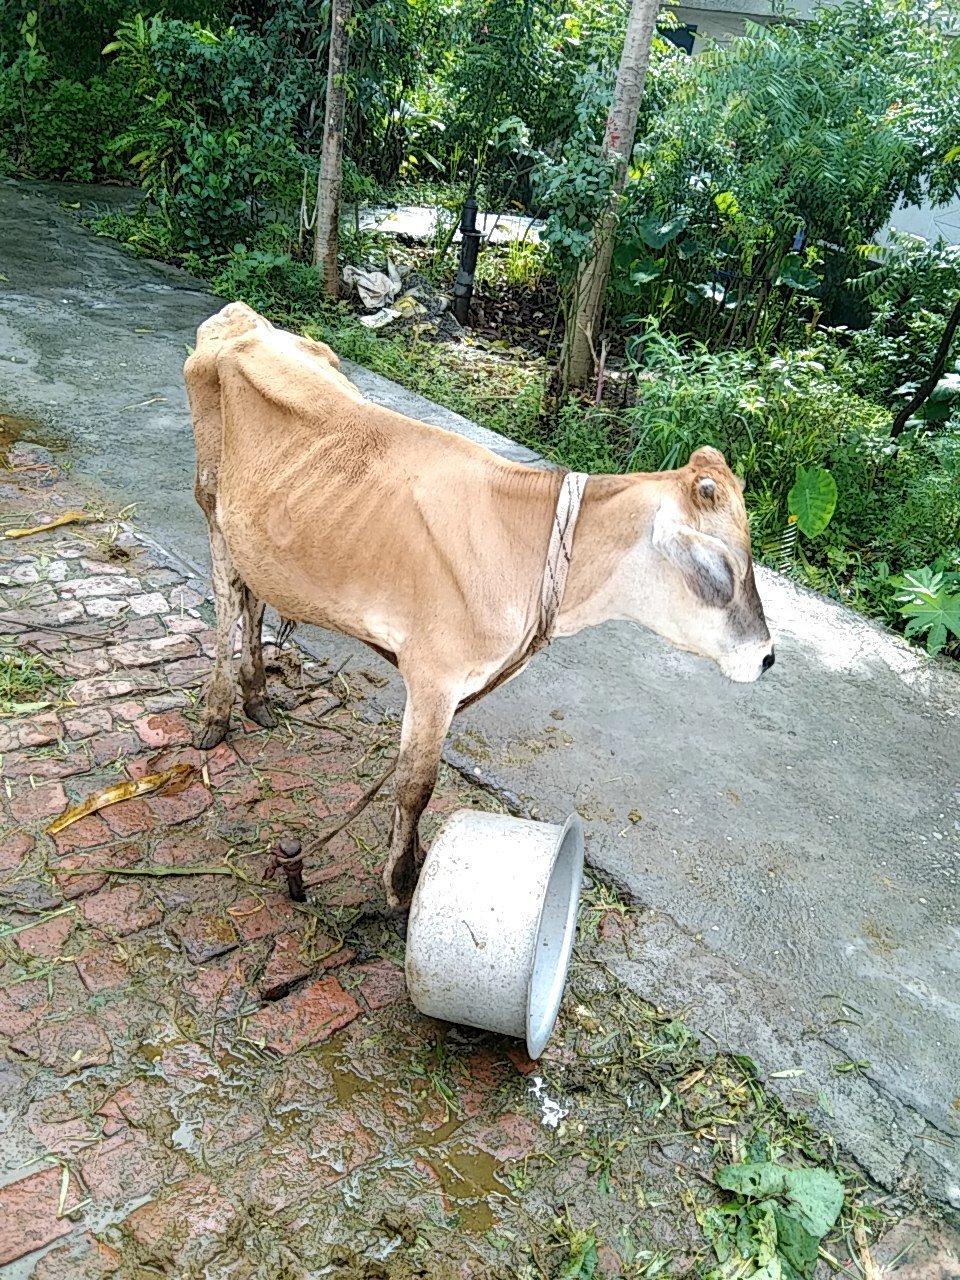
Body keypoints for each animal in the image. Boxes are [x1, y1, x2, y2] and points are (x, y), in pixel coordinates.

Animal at [185, 302, 774, 911]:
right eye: (718, 565)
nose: (766, 655)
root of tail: (244, 320)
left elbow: (417, 777)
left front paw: (413, 860)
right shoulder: (433, 676)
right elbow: (415, 785)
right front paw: (401, 887)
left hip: (259, 537)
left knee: (254, 599)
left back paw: (258, 699)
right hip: (211, 505)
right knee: (228, 601)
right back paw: (216, 714)